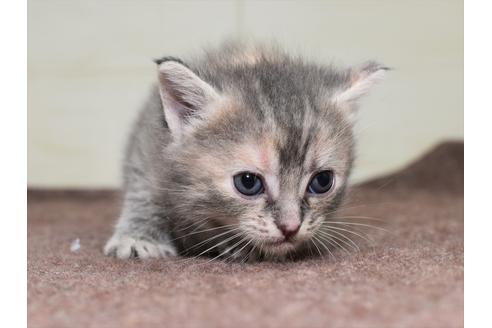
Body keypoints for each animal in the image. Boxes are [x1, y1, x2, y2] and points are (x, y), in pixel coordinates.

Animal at [104, 42, 388, 262]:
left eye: (322, 181)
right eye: (248, 182)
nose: (290, 227)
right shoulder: (146, 147)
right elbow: (142, 193)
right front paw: (139, 237)